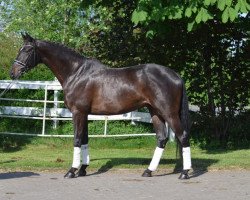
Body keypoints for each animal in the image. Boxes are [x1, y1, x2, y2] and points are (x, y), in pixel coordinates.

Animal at [10, 33, 191, 180]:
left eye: (27, 50)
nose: (13, 73)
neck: (76, 73)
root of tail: (176, 75)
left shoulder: (78, 113)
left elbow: (77, 139)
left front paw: (71, 171)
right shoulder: (84, 114)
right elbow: (84, 139)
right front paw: (83, 169)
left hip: (169, 113)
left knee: (183, 136)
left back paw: (184, 173)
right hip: (155, 112)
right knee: (161, 139)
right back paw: (148, 171)